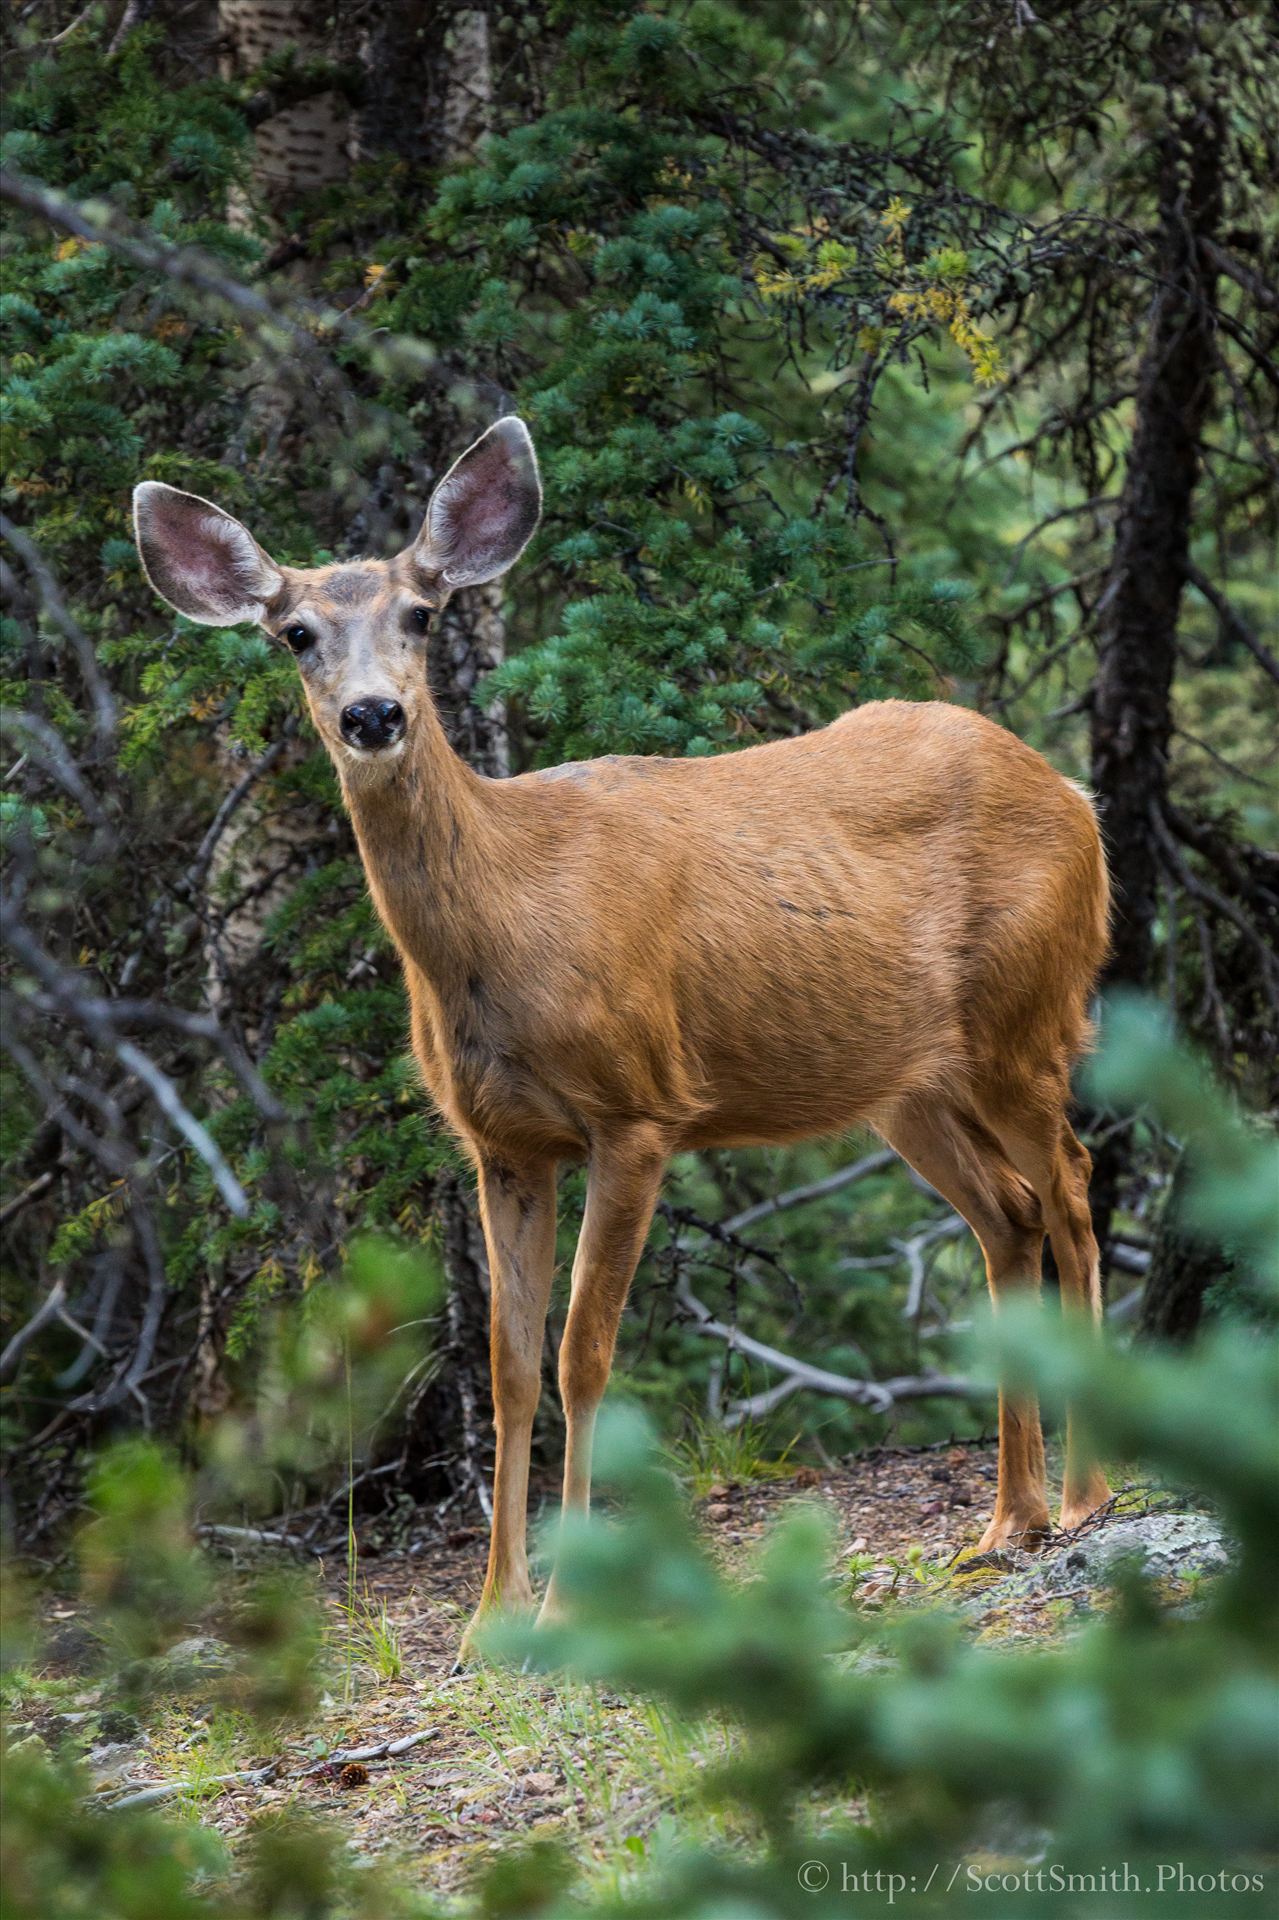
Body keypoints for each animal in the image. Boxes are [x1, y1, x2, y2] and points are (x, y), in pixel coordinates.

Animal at [129, 416, 1106, 1651]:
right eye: (295, 634)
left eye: (421, 614)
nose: (372, 715)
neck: (508, 919)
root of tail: (1075, 797)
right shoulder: (500, 1143)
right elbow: (506, 1364)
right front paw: (488, 1617)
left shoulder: (636, 1109)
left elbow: (582, 1356)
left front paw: (562, 1606)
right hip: (904, 1084)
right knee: (1009, 1215)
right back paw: (1005, 1518)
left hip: (1026, 1015)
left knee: (1072, 1189)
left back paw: (1085, 1496)